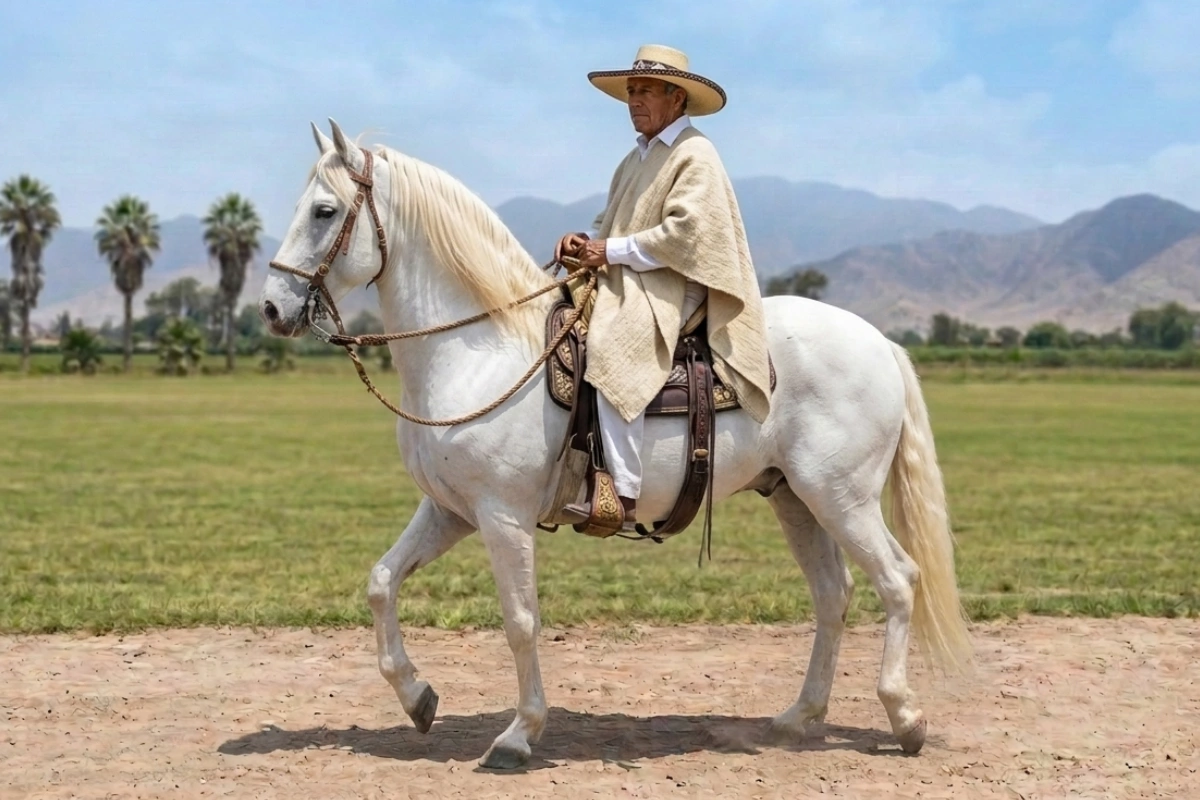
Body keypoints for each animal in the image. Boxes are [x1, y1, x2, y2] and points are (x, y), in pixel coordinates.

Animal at [257, 120, 972, 770]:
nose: (270, 308)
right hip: (795, 498)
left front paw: (518, 734)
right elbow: (383, 582)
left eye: (324, 211)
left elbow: (520, 620)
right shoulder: (451, 510)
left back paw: (905, 718)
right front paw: (418, 698)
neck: (481, 351)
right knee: (833, 594)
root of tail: (880, 341)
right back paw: (797, 719)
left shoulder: (502, 517)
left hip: (842, 498)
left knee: (898, 581)